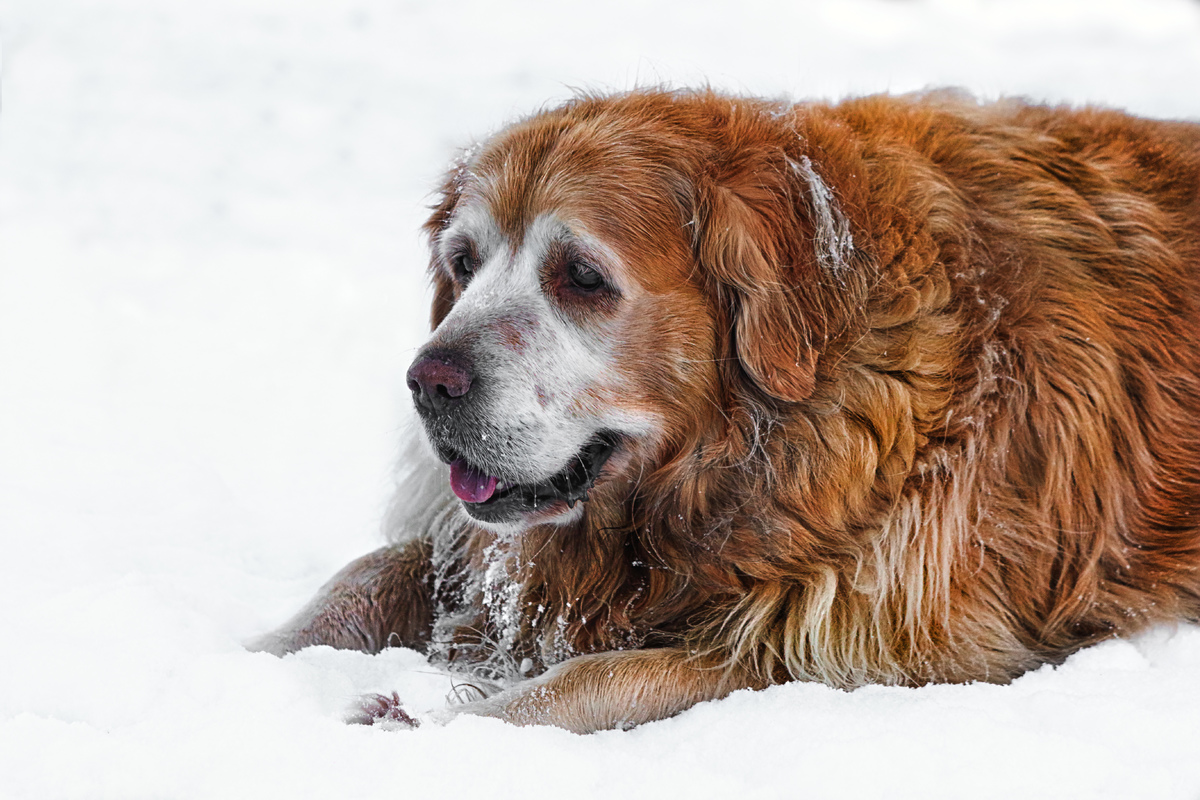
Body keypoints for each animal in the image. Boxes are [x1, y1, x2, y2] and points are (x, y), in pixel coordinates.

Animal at [253, 86, 1200, 734]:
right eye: (463, 262)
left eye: (582, 276)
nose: (429, 381)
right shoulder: (481, 546)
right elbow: (367, 573)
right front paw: (248, 661)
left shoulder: (853, 646)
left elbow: (589, 682)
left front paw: (427, 726)